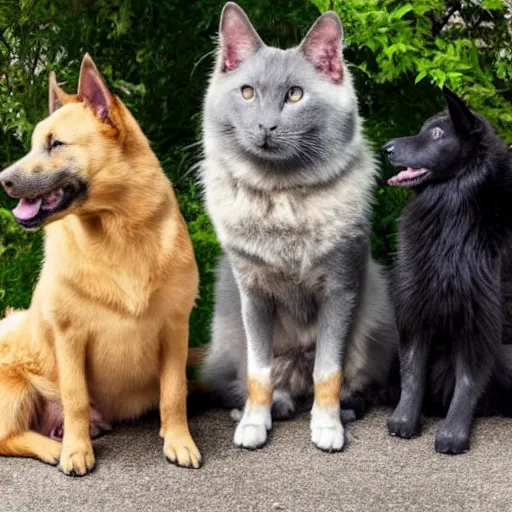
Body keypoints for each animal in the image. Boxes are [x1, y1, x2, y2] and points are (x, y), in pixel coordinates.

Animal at [0, 54, 202, 474]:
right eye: (34, 144)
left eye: (54, 144)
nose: (2, 180)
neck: (118, 234)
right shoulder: (70, 338)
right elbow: (75, 398)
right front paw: (77, 451)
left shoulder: (176, 329)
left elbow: (174, 393)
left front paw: (178, 439)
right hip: (15, 385)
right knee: (8, 437)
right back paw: (54, 446)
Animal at [199, 2, 396, 450]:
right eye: (248, 92)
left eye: (295, 95)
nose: (266, 128)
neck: (281, 194)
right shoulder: (252, 293)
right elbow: (258, 372)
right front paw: (253, 424)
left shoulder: (340, 290)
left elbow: (329, 371)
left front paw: (327, 426)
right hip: (227, 331)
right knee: (261, 383)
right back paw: (274, 405)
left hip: (375, 315)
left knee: (357, 382)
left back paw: (343, 408)